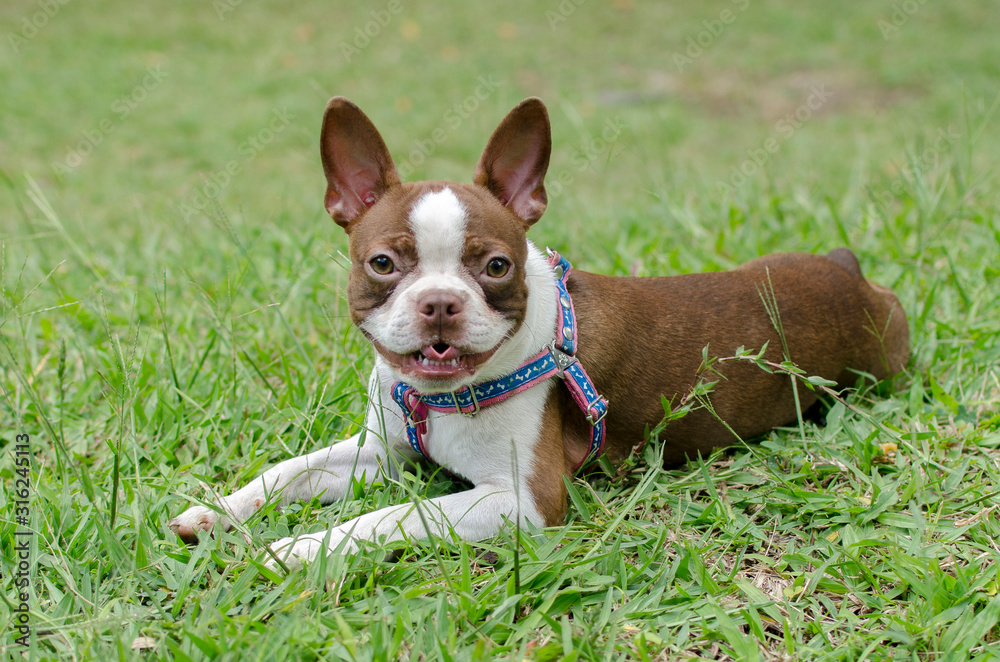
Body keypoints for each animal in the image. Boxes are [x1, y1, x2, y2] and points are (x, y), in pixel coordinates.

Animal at [170, 96, 908, 568]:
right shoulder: (380, 453)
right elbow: (286, 470)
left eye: (496, 266)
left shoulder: (520, 501)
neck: (442, 396)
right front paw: (215, 511)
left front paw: (295, 550)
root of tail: (853, 275)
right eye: (382, 263)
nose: (439, 303)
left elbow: (391, 517)